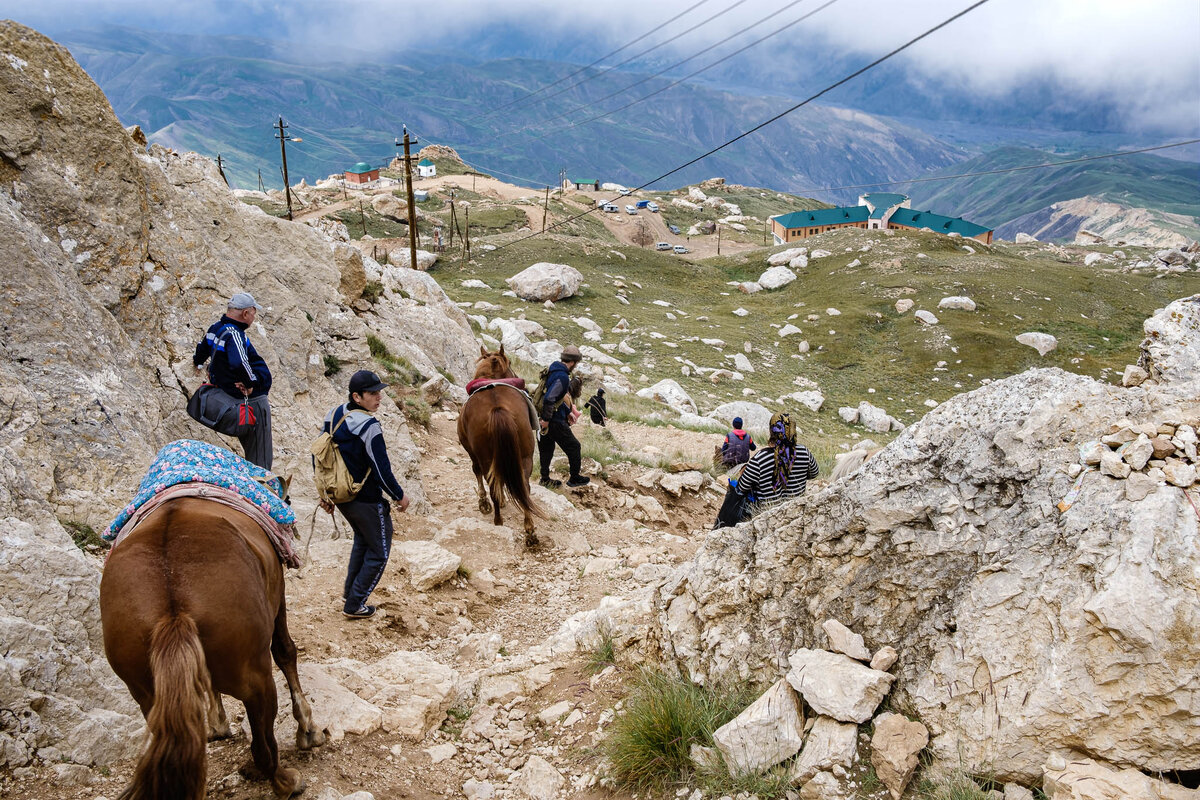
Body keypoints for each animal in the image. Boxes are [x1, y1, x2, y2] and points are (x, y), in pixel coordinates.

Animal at [100, 496, 326, 796]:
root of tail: (172, 610)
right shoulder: (278, 596)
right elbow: (285, 651)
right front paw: (308, 729)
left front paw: (217, 723)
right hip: (256, 679)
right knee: (264, 748)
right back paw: (285, 781)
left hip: (146, 694)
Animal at [456, 345, 542, 544]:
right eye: (510, 363)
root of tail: (497, 407)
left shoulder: (471, 452)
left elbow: (476, 472)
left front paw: (483, 503)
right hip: (525, 456)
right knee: (524, 487)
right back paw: (530, 529)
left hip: (485, 457)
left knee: (492, 484)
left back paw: (498, 521)